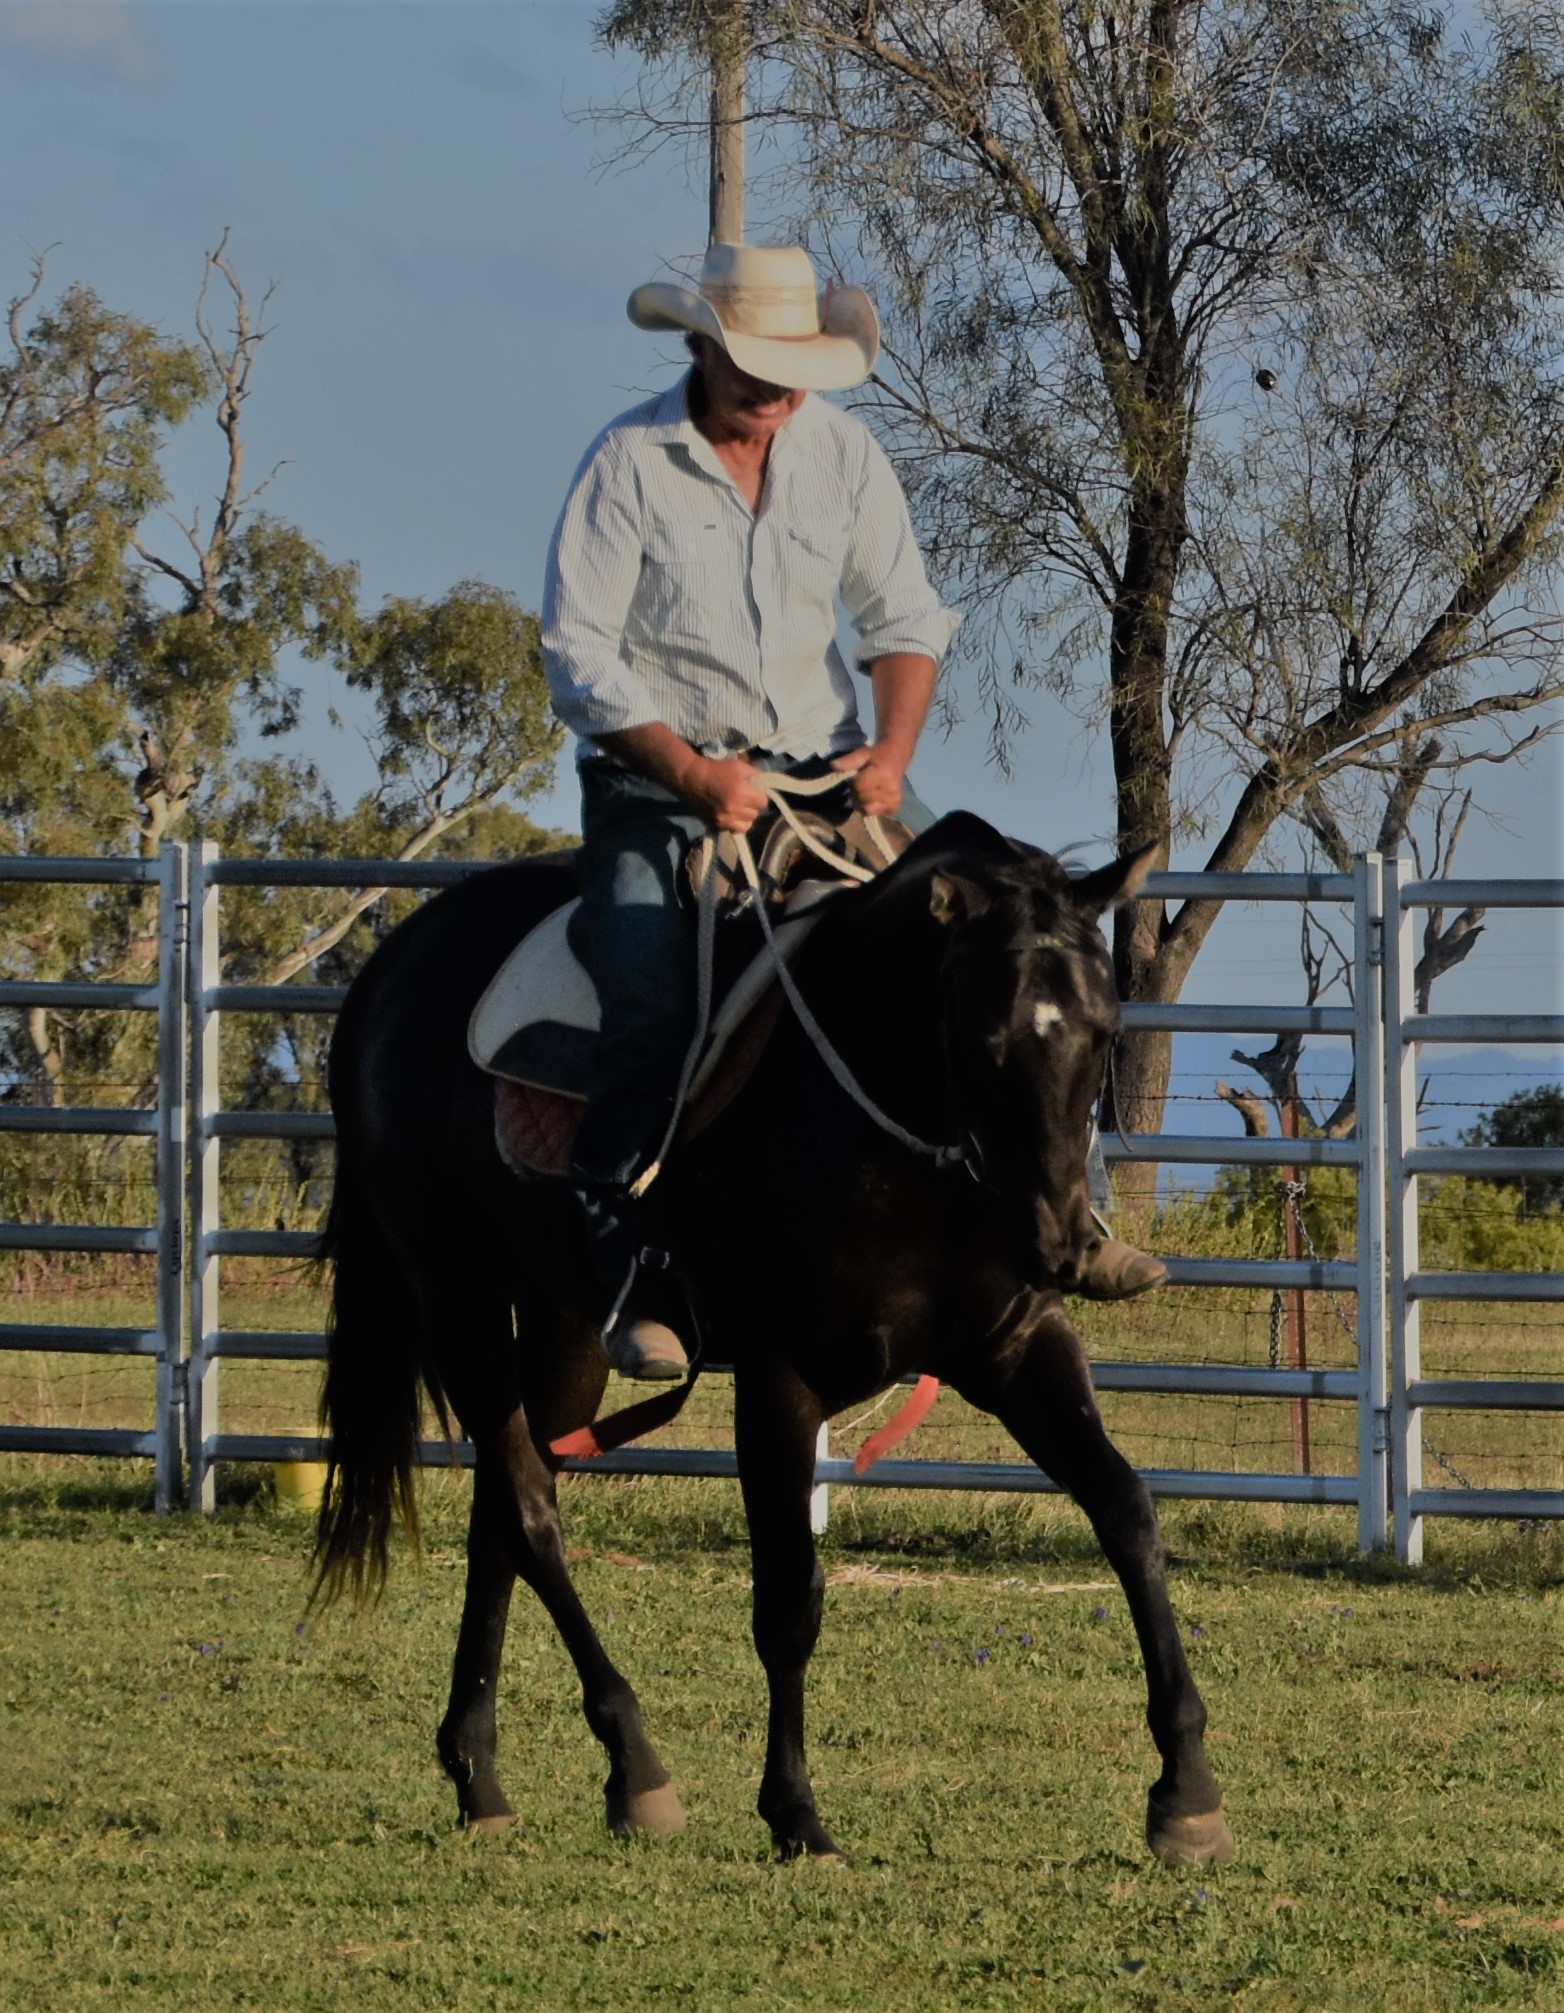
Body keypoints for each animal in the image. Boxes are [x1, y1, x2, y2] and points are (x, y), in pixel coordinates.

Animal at [314, 810, 1235, 1869]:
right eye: (984, 1033)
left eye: (1103, 1030)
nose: (1060, 1243)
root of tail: (391, 971)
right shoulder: (778, 1379)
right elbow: (790, 1598)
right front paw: (795, 1811)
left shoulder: (1015, 1347)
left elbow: (1127, 1513)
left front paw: (1187, 1790)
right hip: (456, 1294)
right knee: (529, 1511)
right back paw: (635, 1765)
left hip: (562, 1324)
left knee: (502, 1514)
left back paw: (481, 1774)